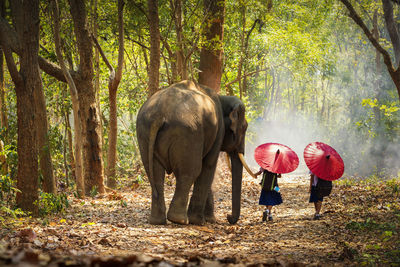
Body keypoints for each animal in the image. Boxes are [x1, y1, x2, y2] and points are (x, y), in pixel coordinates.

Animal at [136, 80, 252, 226]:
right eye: (244, 128)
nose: (228, 217)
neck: (222, 98)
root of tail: (159, 115)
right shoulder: (218, 131)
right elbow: (208, 167)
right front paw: (200, 221)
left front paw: (209, 220)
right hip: (188, 134)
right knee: (190, 172)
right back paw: (180, 220)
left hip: (144, 132)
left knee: (156, 173)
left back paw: (157, 221)